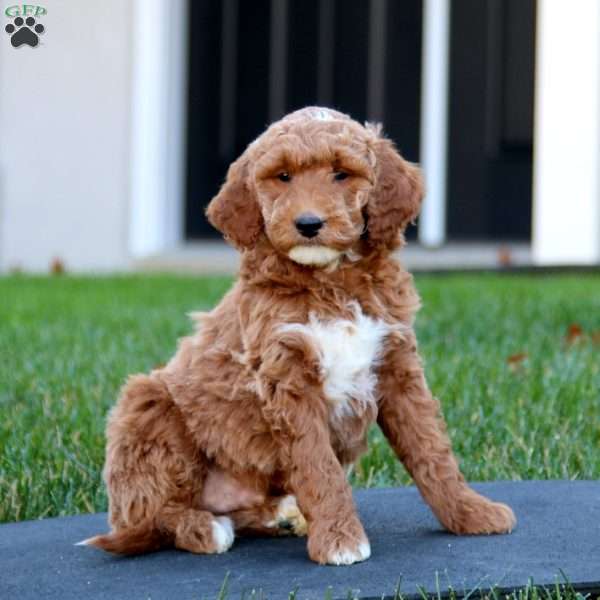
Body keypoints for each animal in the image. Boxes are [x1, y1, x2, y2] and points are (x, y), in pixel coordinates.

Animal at [84, 106, 516, 564]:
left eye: (341, 173)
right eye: (283, 176)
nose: (308, 223)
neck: (332, 280)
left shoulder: (397, 367)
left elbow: (432, 450)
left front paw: (470, 513)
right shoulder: (288, 380)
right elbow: (318, 466)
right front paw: (340, 540)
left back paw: (280, 515)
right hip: (148, 407)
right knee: (151, 517)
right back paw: (205, 528)